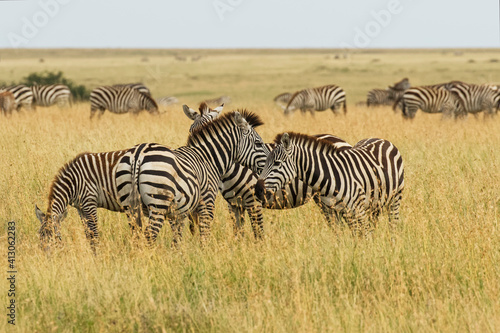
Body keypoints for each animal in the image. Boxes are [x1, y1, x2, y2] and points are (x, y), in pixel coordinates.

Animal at [115, 110, 272, 243]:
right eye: (258, 143)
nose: (268, 165)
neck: (208, 159)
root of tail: (138, 154)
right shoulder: (207, 202)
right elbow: (204, 233)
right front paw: (205, 253)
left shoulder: (179, 212)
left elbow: (178, 239)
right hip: (158, 203)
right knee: (149, 236)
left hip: (130, 207)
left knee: (136, 236)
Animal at [256, 132, 404, 236]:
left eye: (277, 163)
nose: (257, 190)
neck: (332, 177)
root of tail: (382, 139)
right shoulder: (335, 212)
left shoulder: (358, 211)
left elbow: (364, 236)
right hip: (375, 204)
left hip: (395, 200)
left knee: (393, 228)